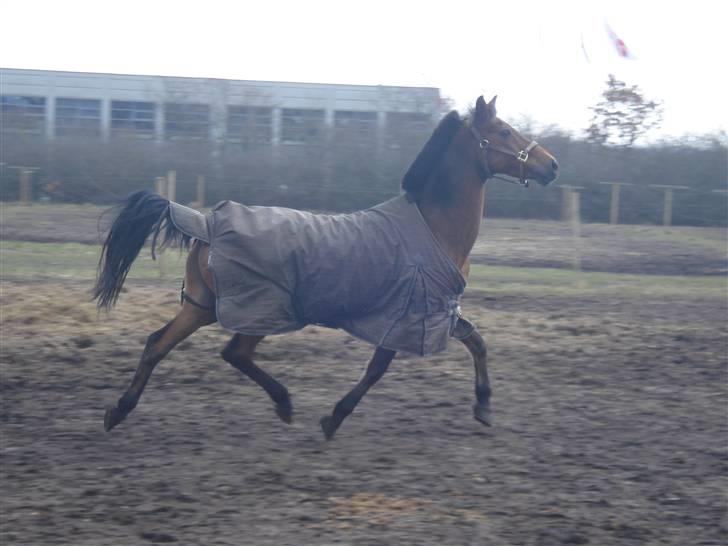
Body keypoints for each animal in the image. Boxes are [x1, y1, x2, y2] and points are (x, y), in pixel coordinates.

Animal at [94, 95, 558, 440]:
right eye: (503, 131)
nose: (551, 165)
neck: (433, 225)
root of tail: (205, 223)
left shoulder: (438, 311)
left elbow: (477, 343)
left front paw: (484, 407)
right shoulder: (408, 313)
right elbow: (377, 369)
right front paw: (333, 418)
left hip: (203, 306)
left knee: (158, 344)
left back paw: (118, 412)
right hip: (259, 309)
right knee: (233, 352)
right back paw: (284, 403)